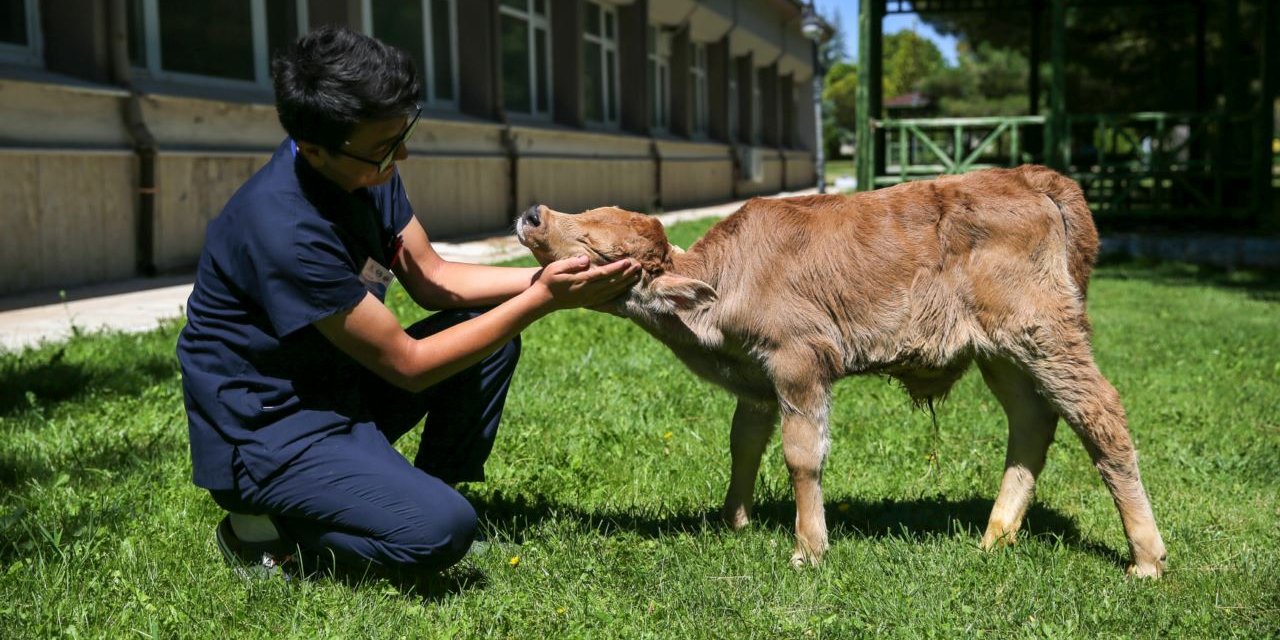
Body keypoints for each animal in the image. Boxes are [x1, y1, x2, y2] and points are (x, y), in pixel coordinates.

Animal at [514, 163, 1167, 576]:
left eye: (597, 249)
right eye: (586, 213)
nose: (532, 213)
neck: (723, 283)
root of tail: (1031, 176)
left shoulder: (799, 362)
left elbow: (801, 454)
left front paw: (808, 548)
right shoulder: (756, 381)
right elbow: (744, 442)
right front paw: (735, 521)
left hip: (1045, 334)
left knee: (1099, 414)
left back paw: (1145, 558)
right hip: (1000, 352)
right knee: (1032, 421)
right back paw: (994, 537)